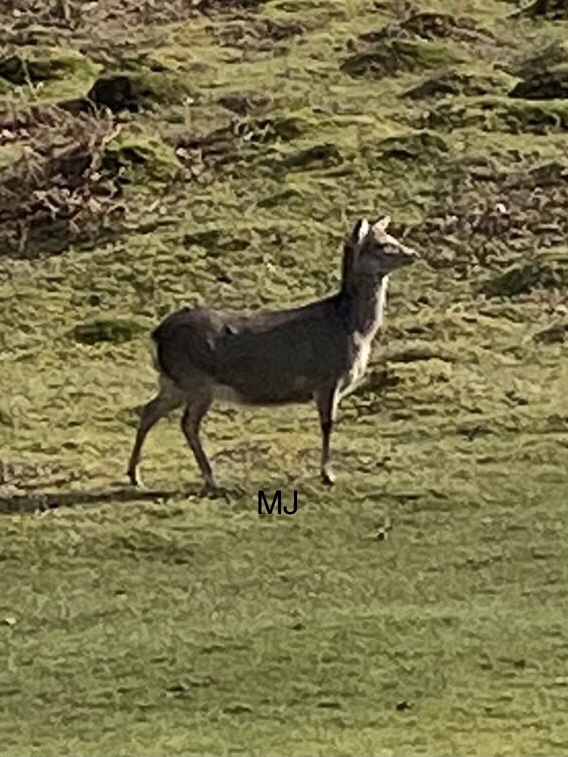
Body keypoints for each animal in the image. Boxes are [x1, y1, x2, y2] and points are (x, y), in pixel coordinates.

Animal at [127, 215, 419, 494]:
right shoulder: (327, 378)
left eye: (391, 236)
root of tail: (157, 335)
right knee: (187, 424)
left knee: (149, 410)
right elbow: (328, 423)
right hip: (196, 380)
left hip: (173, 381)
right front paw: (328, 475)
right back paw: (211, 480)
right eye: (380, 244)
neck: (351, 328)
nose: (413, 253)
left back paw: (135, 475)